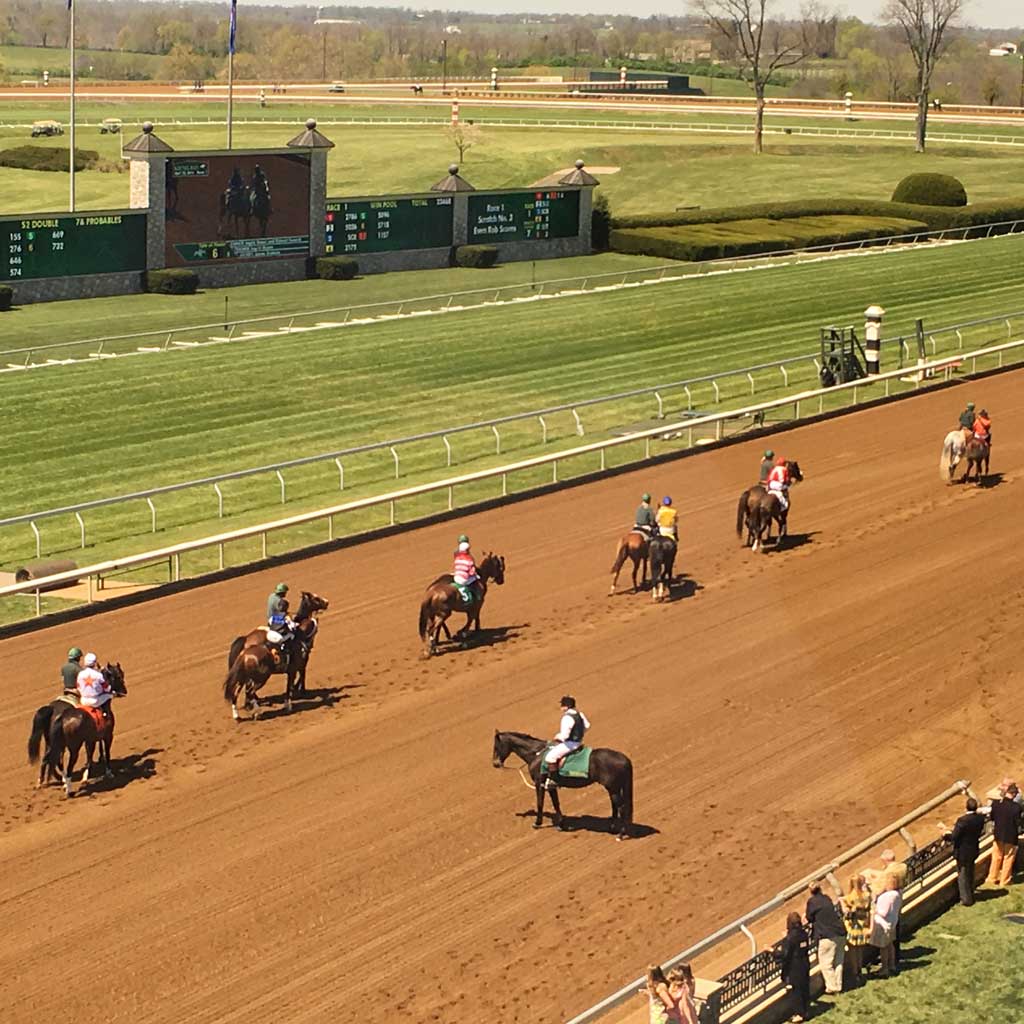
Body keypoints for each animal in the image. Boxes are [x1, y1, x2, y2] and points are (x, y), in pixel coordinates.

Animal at [31, 663, 128, 798]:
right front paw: (108, 772)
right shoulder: (108, 735)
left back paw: (44, 782)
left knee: (49, 759)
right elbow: (105, 753)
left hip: (53, 742)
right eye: (119, 675)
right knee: (64, 764)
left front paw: (86, 776)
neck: (101, 706)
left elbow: (90, 755)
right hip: (72, 747)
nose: (124, 691)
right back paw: (67, 787)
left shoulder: (90, 739)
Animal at [493, 729, 634, 839]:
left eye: (496, 747)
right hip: (613, 788)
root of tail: (625, 759)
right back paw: (612, 828)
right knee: (615, 806)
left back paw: (621, 834)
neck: (537, 754)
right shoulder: (551, 786)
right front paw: (560, 824)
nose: (495, 764)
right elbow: (556, 803)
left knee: (622, 808)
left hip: (613, 788)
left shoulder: (540, 783)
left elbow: (540, 803)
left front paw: (537, 823)